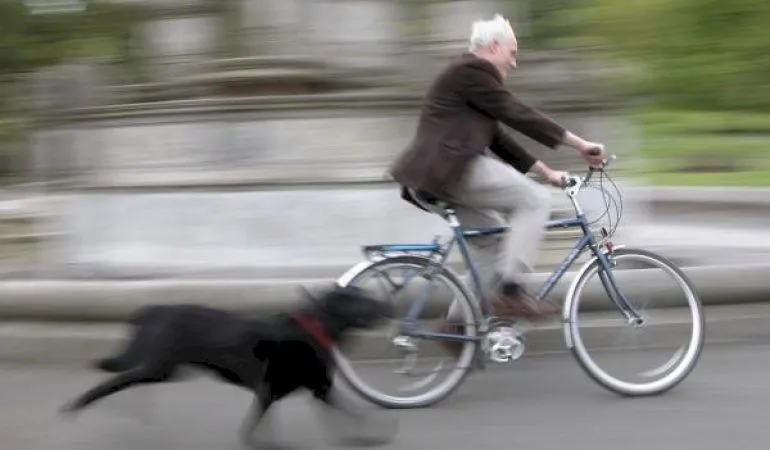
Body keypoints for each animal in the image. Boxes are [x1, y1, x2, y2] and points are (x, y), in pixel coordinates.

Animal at [60, 284, 392, 446]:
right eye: (360, 300)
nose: (387, 306)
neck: (316, 327)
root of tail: (158, 308)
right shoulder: (272, 390)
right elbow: (255, 429)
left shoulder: (318, 389)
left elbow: (353, 414)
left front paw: (364, 439)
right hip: (159, 369)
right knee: (114, 382)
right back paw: (76, 406)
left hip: (167, 372)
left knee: (126, 381)